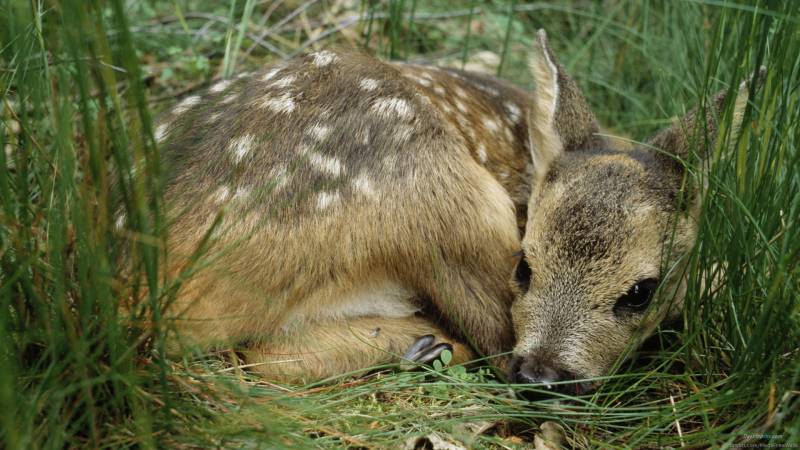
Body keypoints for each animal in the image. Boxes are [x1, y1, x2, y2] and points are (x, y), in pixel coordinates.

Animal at [142, 29, 752, 390]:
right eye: (524, 266)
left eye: (641, 290)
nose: (543, 376)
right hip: (443, 187)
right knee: (489, 339)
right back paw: (430, 345)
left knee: (261, 354)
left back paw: (416, 345)